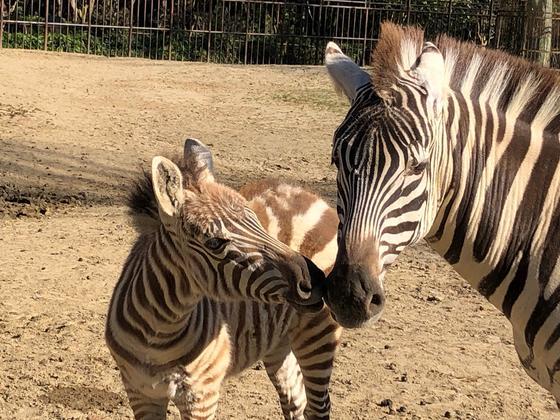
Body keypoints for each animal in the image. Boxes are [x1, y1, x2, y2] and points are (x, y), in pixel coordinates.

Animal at [105, 139, 342, 418]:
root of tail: (311, 195)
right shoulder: (140, 391)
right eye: (215, 243)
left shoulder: (201, 395)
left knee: (319, 405)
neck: (158, 334)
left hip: (318, 335)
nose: (316, 281)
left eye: (258, 223)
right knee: (295, 399)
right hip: (278, 341)